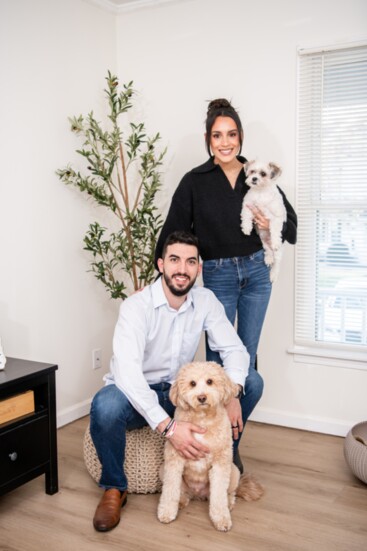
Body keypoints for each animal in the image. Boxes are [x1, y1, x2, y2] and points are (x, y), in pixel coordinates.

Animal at [158, 360, 264, 532]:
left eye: (209, 381)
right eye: (192, 383)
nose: (201, 397)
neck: (202, 419)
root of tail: (198, 494)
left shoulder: (220, 464)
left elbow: (218, 496)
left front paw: (221, 519)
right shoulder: (174, 461)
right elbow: (170, 490)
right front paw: (166, 512)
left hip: (233, 472)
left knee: (228, 493)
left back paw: (229, 503)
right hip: (163, 470)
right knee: (181, 492)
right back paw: (181, 501)